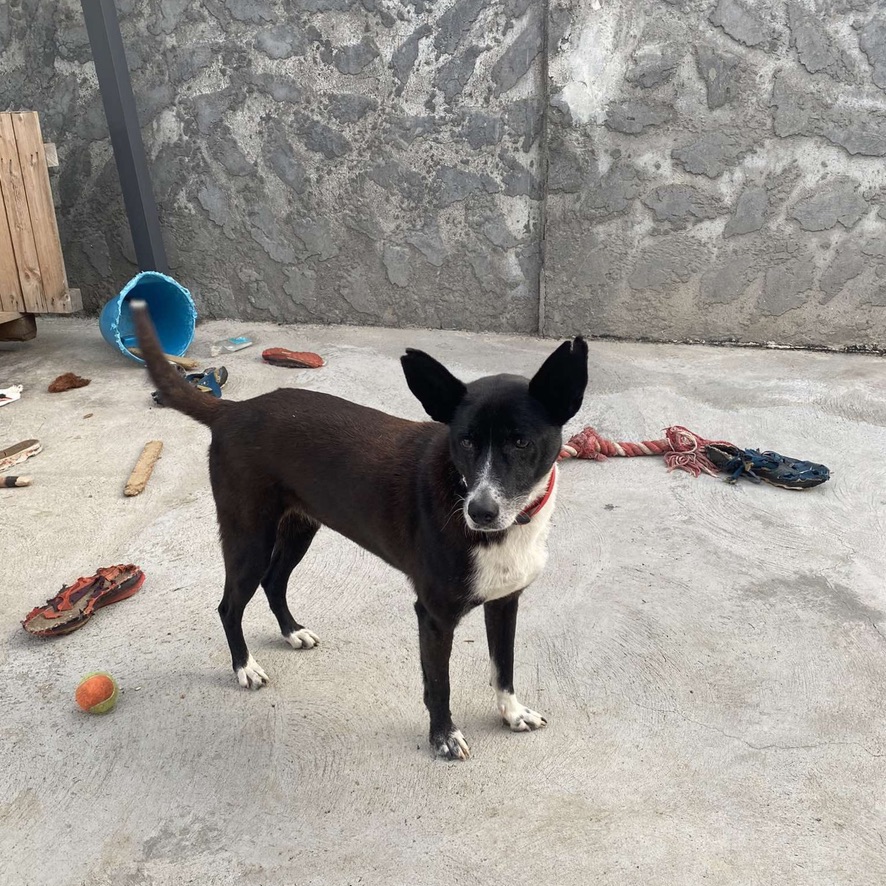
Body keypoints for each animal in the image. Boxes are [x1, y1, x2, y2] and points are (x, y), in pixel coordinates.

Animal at [134, 302, 588, 760]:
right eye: (465, 441)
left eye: (521, 442)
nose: (480, 512)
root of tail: (233, 411)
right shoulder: (434, 615)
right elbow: (438, 685)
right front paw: (443, 736)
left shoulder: (505, 602)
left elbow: (503, 667)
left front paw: (512, 713)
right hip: (249, 537)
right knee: (229, 606)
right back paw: (244, 667)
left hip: (299, 528)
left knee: (274, 581)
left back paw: (291, 631)